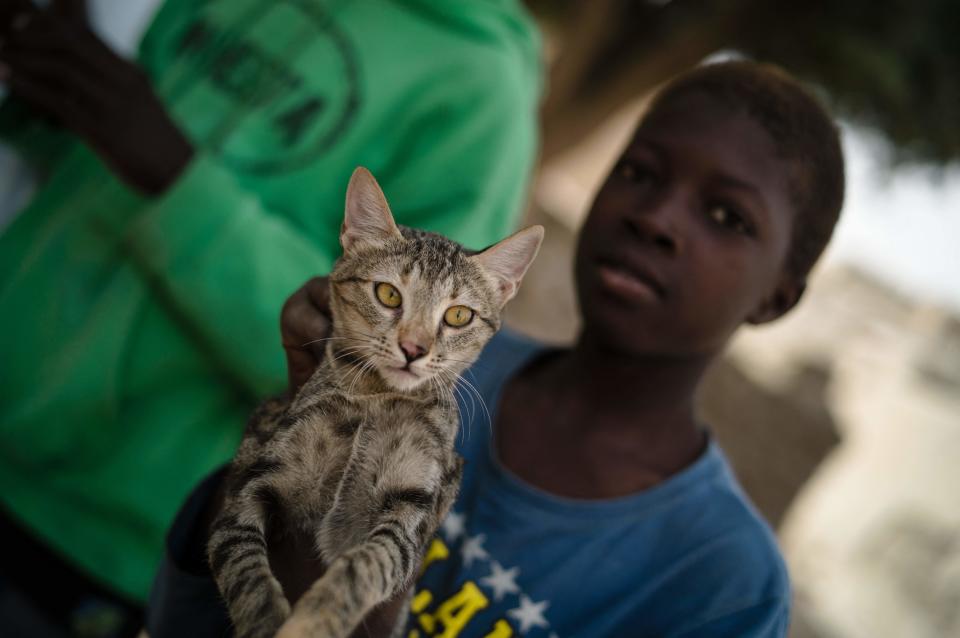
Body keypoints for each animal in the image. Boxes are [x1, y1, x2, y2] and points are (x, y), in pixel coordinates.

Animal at [207, 168, 544, 636]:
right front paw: (269, 620)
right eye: (388, 294)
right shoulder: (249, 490)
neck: (376, 400)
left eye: (458, 316)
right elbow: (247, 574)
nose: (414, 348)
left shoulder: (413, 510)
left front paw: (314, 619)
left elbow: (363, 567)